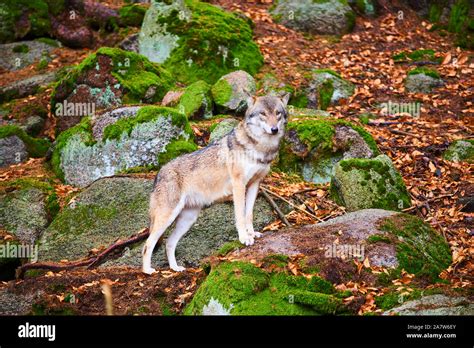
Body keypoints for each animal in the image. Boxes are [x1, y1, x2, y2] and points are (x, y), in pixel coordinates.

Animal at [142, 94, 288, 274]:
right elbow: (240, 215)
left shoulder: (255, 184)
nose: (274, 129)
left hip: (188, 219)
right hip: (167, 217)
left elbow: (249, 214)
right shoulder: (239, 185)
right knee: (147, 244)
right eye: (263, 114)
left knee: (169, 243)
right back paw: (147, 270)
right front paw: (244, 238)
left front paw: (252, 234)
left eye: (277, 113)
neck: (259, 147)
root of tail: (159, 173)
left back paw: (175, 268)